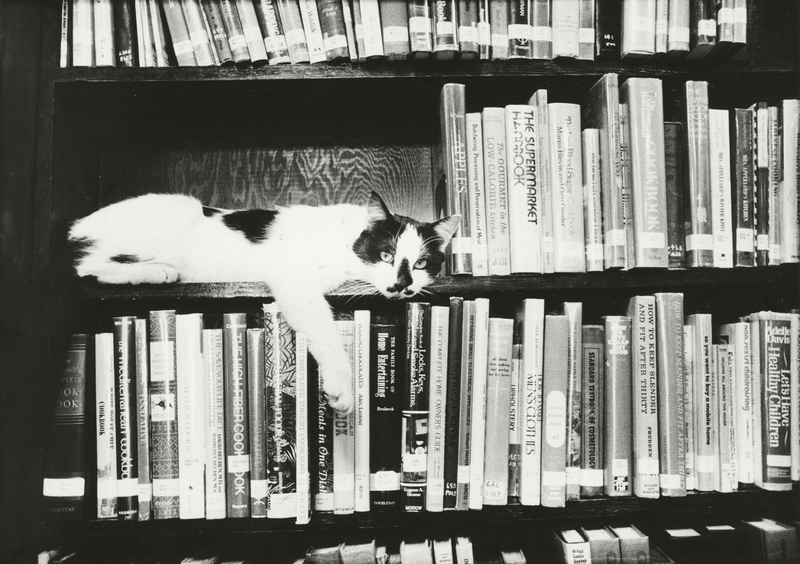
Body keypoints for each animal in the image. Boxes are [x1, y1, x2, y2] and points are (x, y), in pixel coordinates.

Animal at [69, 192, 462, 412]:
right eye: (386, 254)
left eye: (422, 264)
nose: (402, 285)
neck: (345, 238)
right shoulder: (293, 277)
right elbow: (325, 334)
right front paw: (341, 386)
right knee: (86, 265)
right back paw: (156, 271)